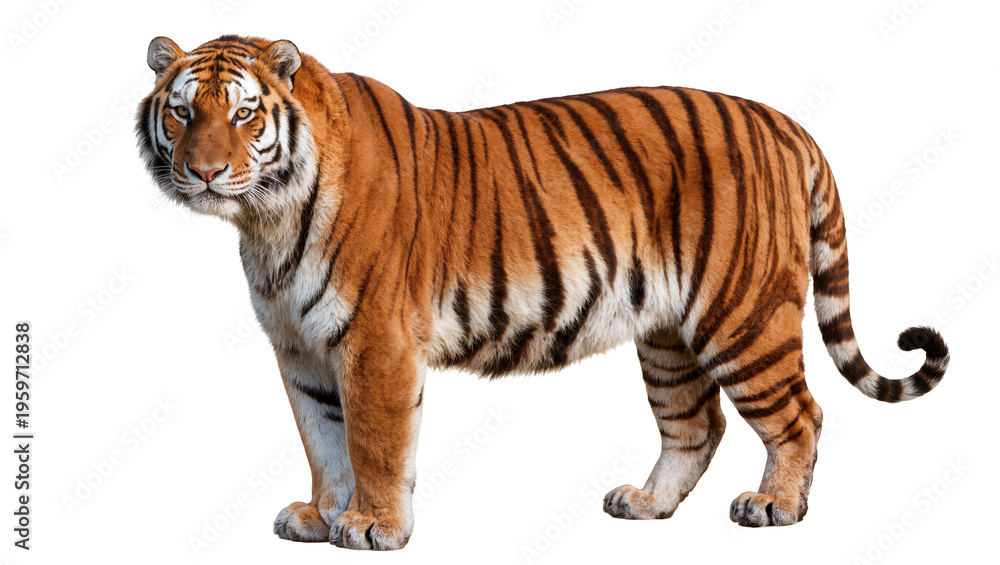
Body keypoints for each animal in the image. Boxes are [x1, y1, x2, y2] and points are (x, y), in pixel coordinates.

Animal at [136, 35, 950, 550]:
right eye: (182, 111)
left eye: (244, 113)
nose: (204, 171)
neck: (264, 217)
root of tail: (784, 122)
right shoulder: (302, 350)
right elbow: (323, 439)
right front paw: (320, 516)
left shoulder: (375, 343)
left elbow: (372, 439)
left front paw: (371, 526)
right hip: (668, 336)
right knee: (697, 424)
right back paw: (646, 504)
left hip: (740, 315)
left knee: (800, 414)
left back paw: (775, 506)